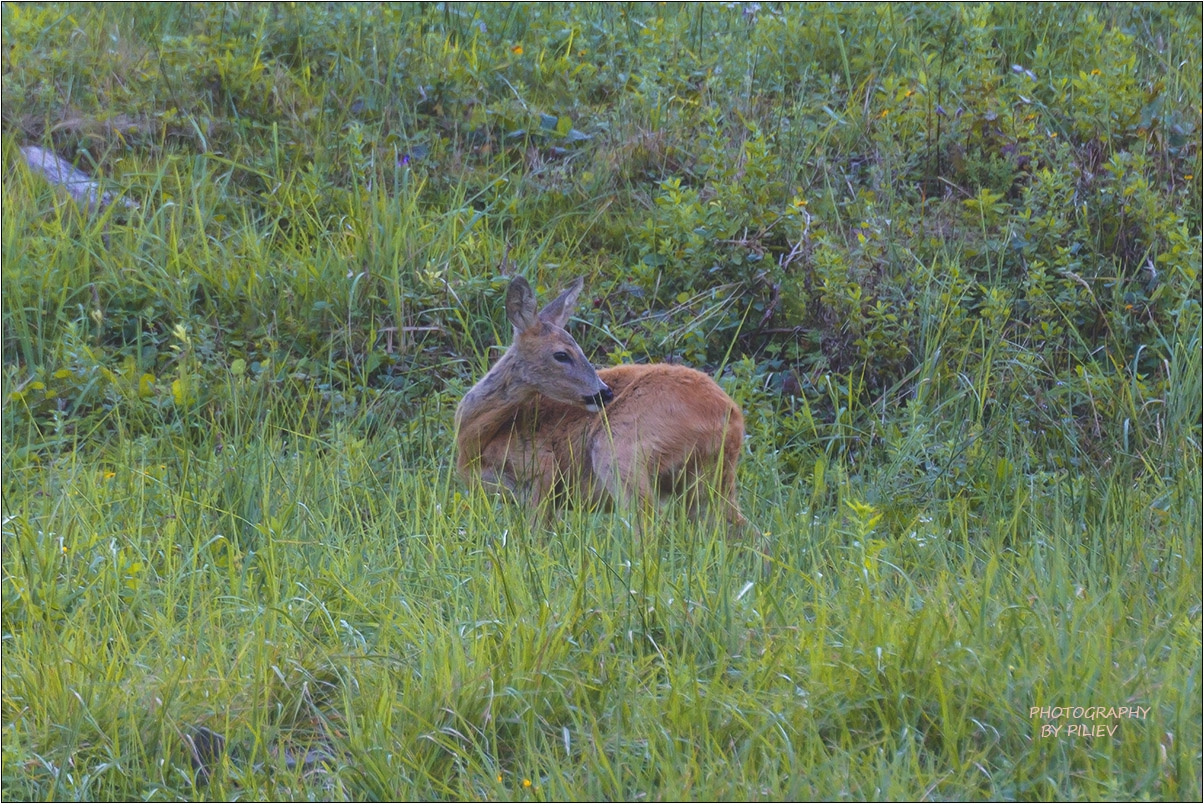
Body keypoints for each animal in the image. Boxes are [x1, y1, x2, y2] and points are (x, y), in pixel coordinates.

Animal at [455, 276, 746, 527]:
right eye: (562, 354)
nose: (604, 393)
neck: (474, 444)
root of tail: (730, 415)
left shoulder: (542, 468)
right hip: (711, 477)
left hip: (620, 448)